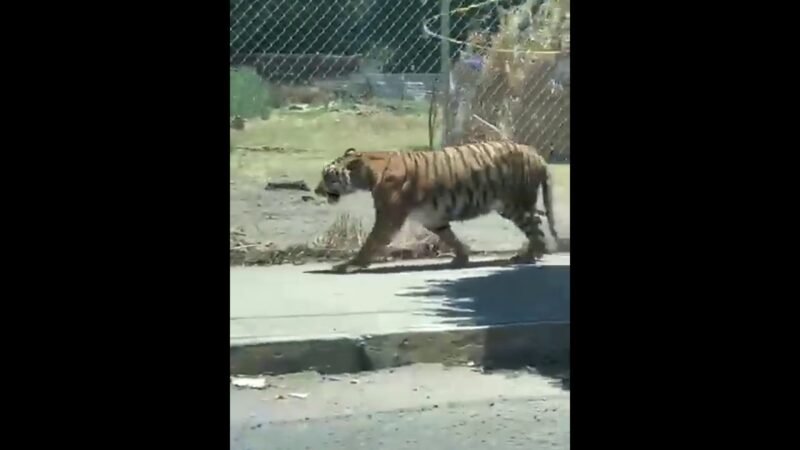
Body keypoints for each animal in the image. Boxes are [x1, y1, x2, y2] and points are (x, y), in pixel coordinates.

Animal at [312, 141, 556, 274]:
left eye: (328, 176)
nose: (316, 190)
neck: (368, 175)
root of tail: (536, 154)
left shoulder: (389, 215)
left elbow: (371, 241)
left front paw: (349, 265)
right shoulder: (433, 218)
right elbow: (450, 237)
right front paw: (461, 259)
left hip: (515, 204)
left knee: (536, 225)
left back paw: (529, 255)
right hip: (509, 206)